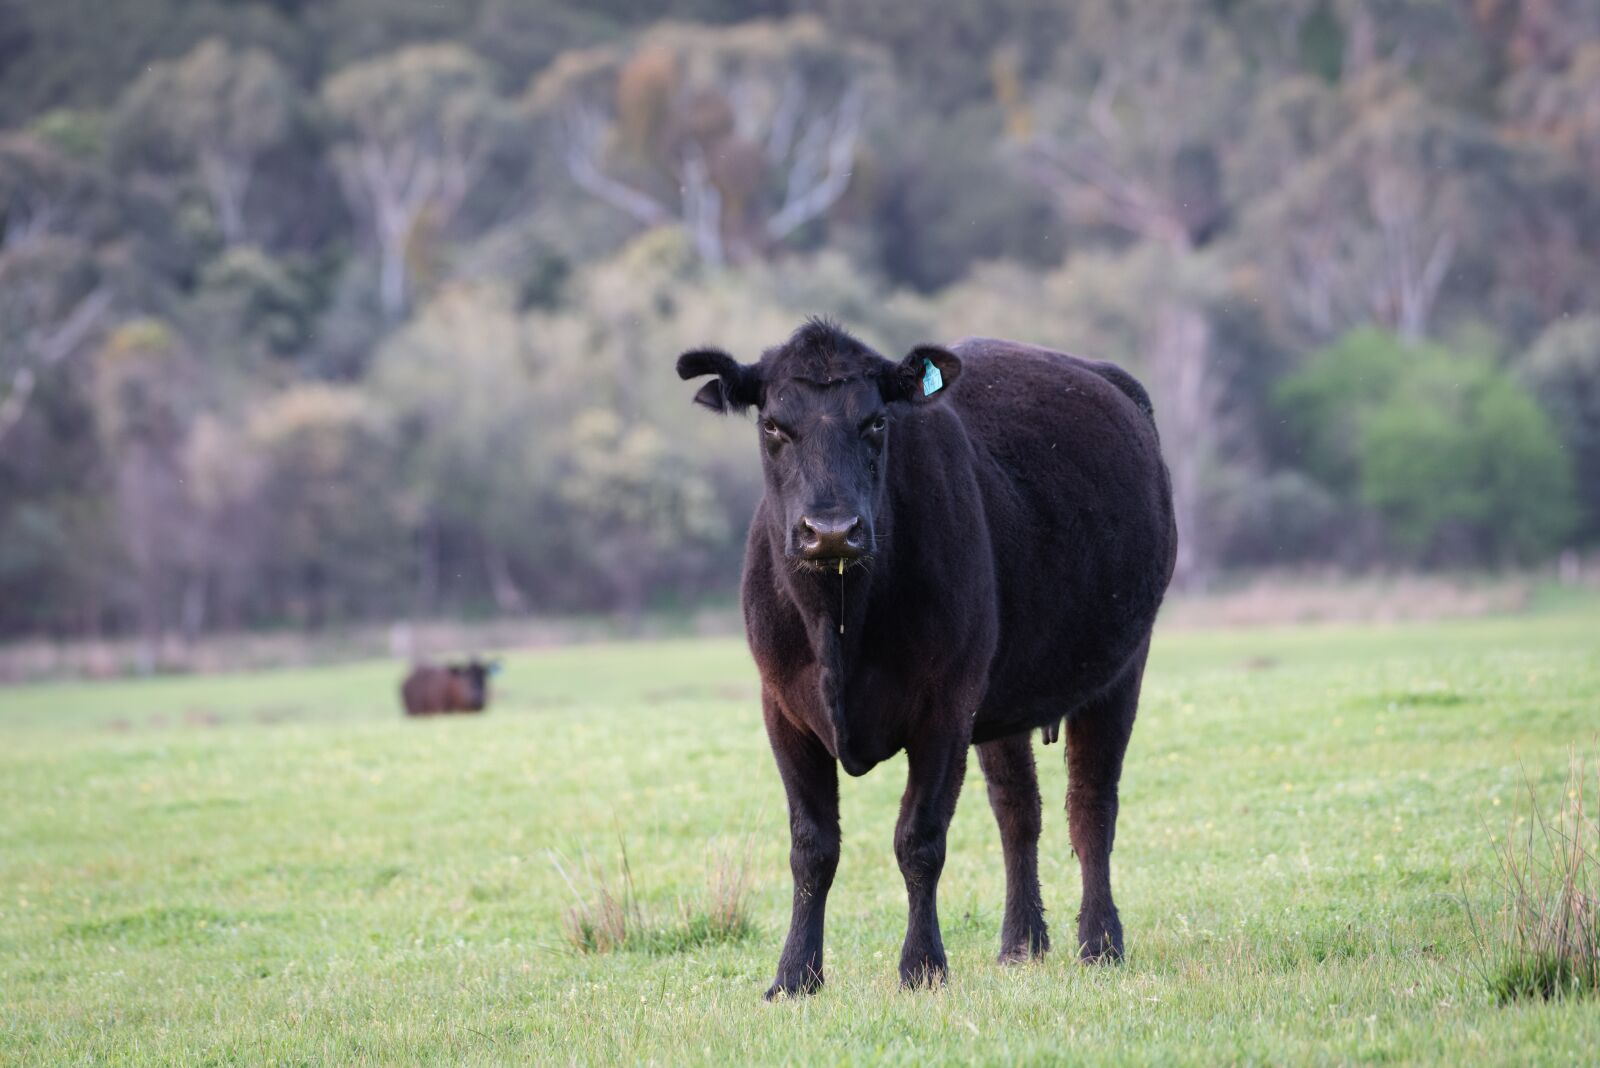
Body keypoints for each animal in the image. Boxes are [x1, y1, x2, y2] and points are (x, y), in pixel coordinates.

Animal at [677, 319, 1176, 999]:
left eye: (876, 422)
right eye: (773, 425)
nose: (830, 530)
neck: (840, 623)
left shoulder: (944, 708)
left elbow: (919, 840)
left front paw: (921, 965)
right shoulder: (783, 709)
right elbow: (812, 847)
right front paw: (795, 974)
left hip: (1119, 670)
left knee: (1091, 805)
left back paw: (1099, 942)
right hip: (1002, 699)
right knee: (1018, 810)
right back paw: (1021, 943)